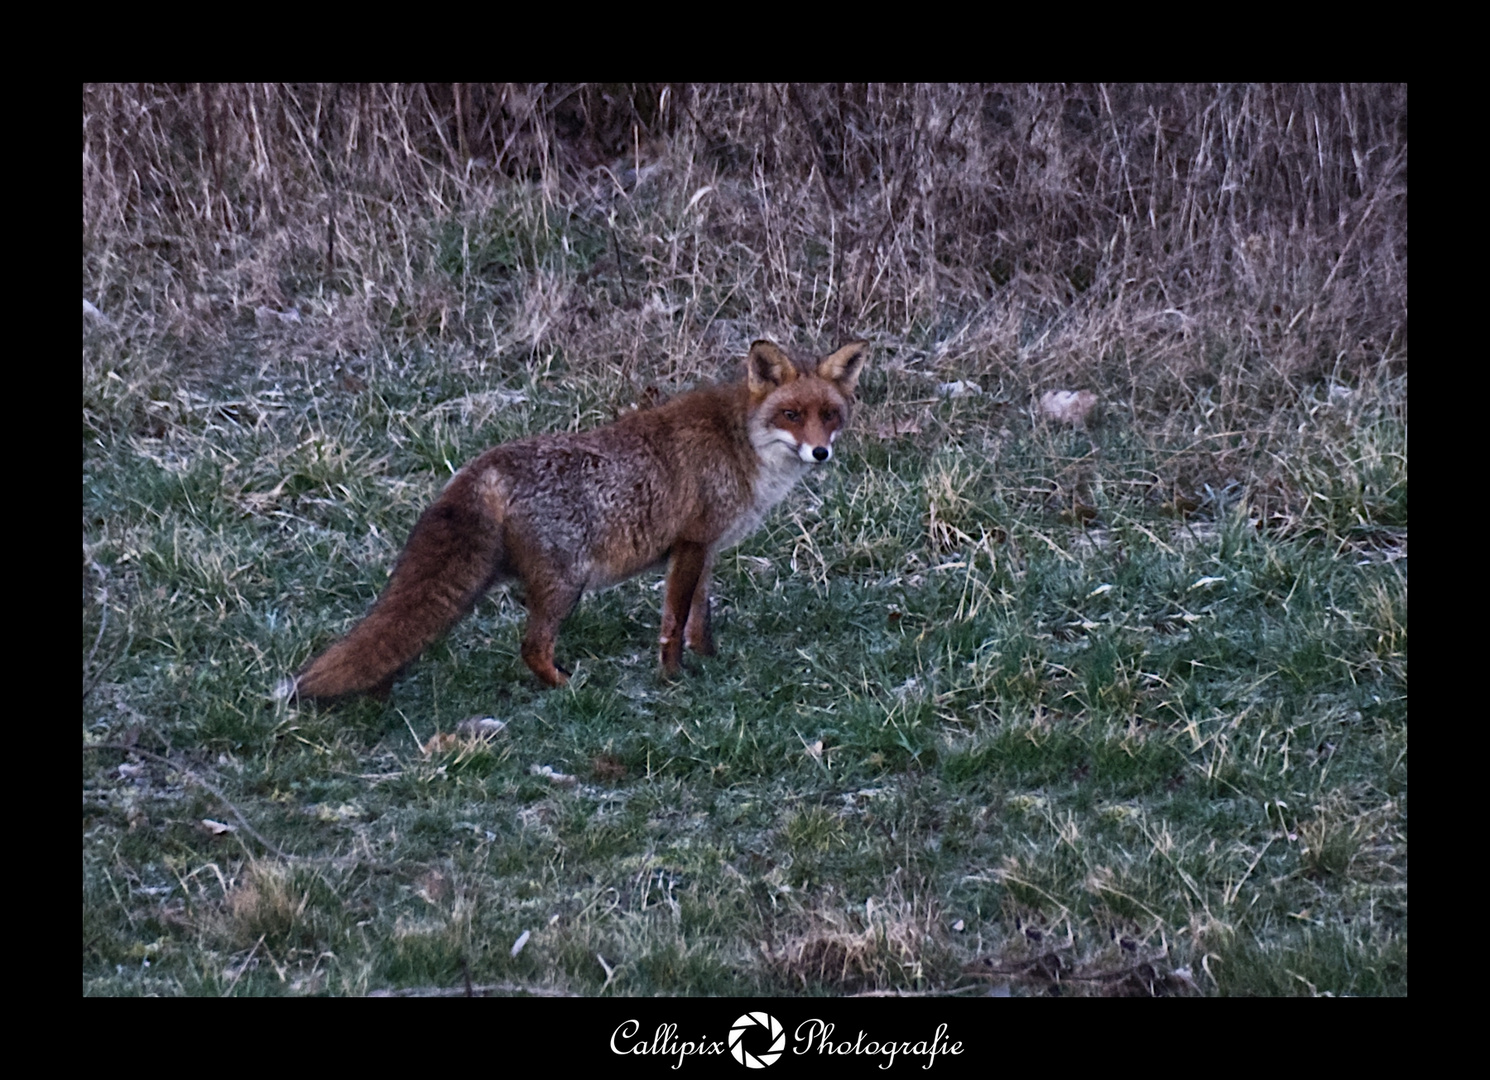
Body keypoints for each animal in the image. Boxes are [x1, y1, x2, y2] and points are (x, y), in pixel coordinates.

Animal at [284, 341, 870, 703]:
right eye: (791, 415)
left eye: (830, 415)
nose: (820, 452)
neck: (740, 442)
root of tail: (480, 466)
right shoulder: (690, 544)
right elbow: (672, 626)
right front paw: (673, 678)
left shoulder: (704, 548)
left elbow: (699, 619)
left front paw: (711, 662)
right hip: (567, 584)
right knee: (530, 647)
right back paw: (568, 688)